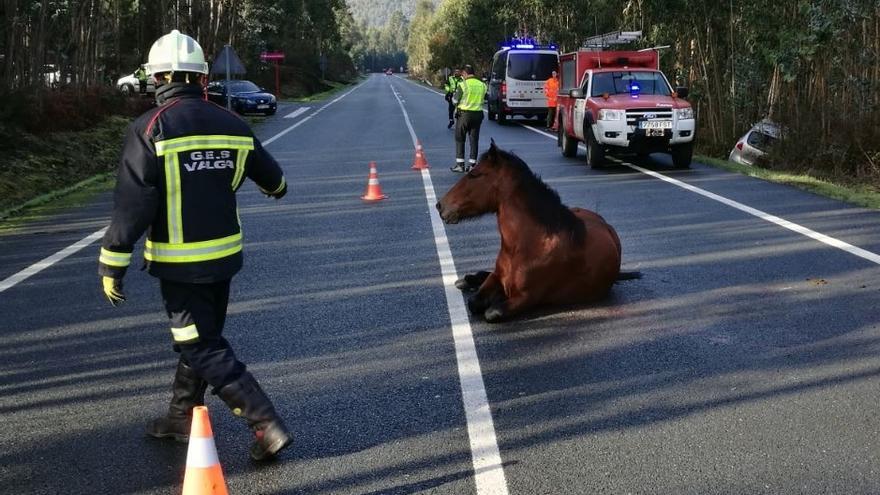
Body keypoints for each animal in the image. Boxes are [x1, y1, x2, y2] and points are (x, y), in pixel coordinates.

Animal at [436, 141, 624, 324]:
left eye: (474, 174)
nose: (440, 205)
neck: (530, 243)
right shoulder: (496, 277)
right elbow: (474, 302)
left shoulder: (527, 298)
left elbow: (492, 312)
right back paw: (469, 279)